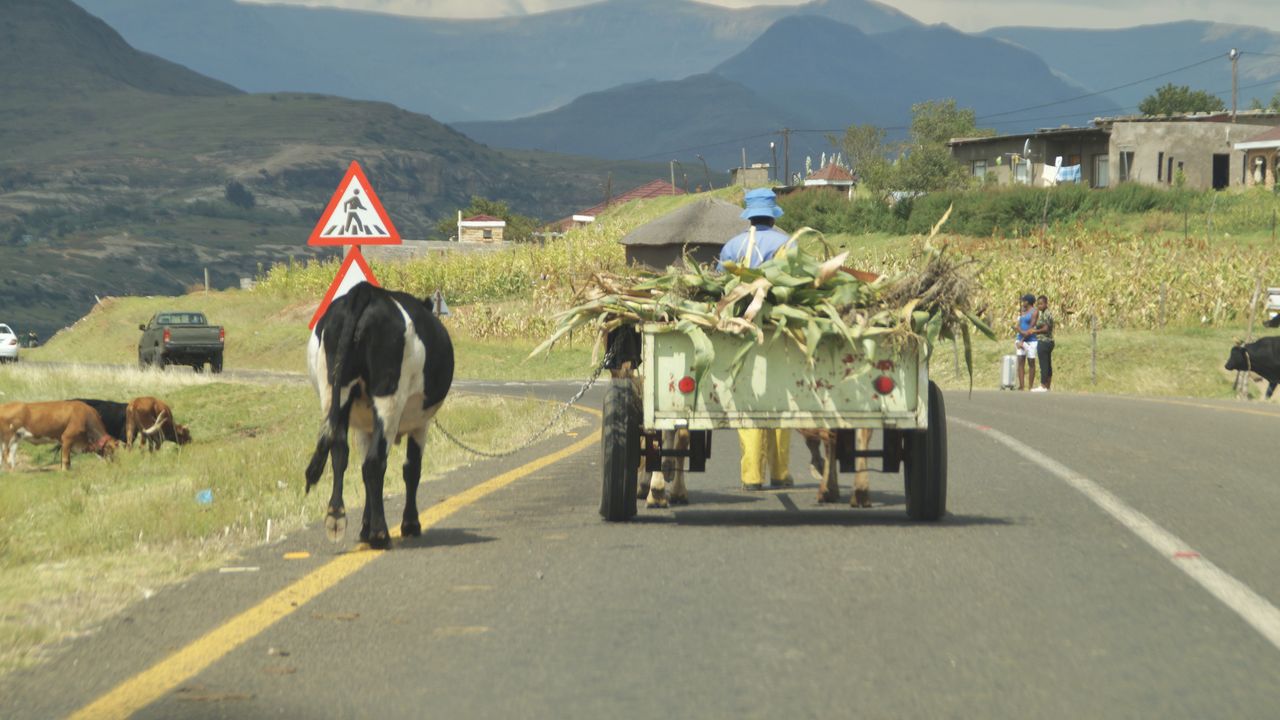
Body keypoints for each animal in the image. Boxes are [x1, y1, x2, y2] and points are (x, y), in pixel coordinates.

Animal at [304, 280, 455, 543]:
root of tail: (365, 291)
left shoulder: (364, 427)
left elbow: (361, 466)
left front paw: (364, 526)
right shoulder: (420, 423)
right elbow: (411, 468)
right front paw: (410, 524)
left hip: (335, 392)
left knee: (340, 453)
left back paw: (336, 516)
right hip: (388, 398)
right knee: (376, 462)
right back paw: (379, 532)